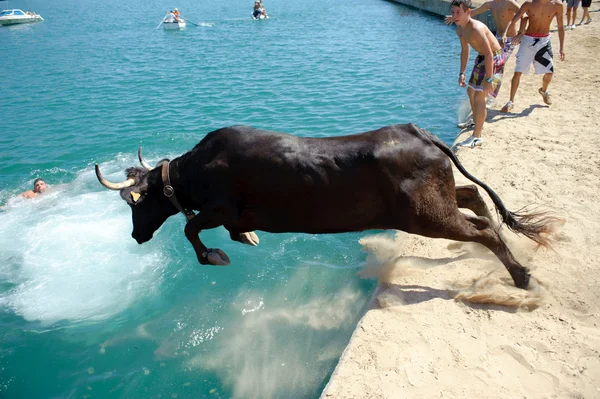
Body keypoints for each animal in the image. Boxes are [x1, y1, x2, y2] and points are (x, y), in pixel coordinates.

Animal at [95, 123, 552, 290]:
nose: (136, 235)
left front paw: (216, 255)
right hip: (438, 200)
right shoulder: (227, 213)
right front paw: (247, 236)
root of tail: (421, 134)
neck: (194, 172)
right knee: (475, 199)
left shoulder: (218, 207)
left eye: (135, 205)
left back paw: (521, 275)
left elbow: (191, 228)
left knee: (483, 229)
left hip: (425, 215)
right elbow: (223, 229)